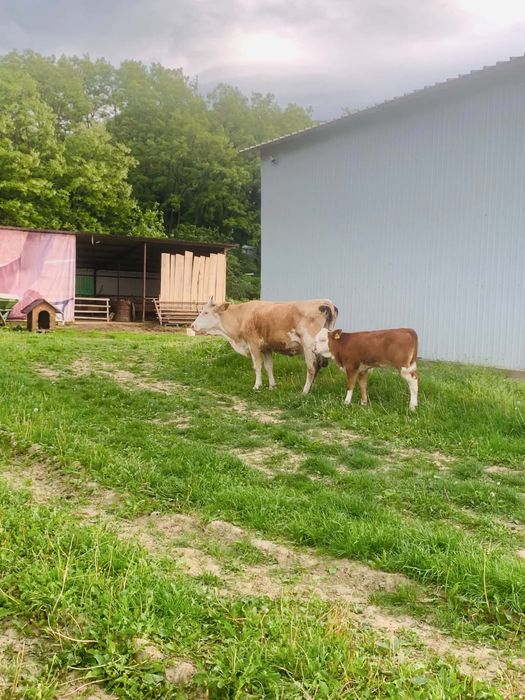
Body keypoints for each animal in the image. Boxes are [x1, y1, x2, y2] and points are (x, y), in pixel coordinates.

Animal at [191, 298, 338, 394]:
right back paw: (311, 388)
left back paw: (305, 391)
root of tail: (325, 302)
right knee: (318, 367)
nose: (192, 326)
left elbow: (257, 366)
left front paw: (257, 386)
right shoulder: (266, 347)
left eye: (205, 312)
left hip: (309, 346)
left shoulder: (253, 344)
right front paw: (272, 386)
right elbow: (269, 366)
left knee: (312, 368)